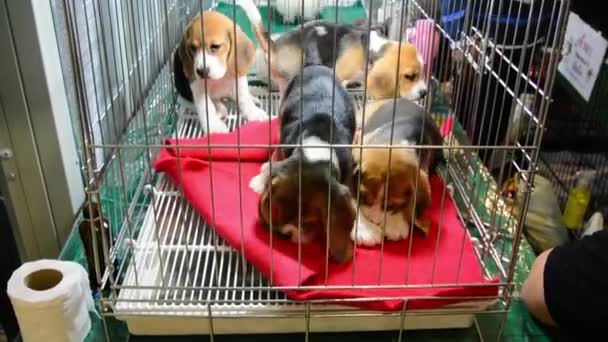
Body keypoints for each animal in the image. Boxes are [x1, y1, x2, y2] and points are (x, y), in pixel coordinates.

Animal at [249, 44, 358, 264]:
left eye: (310, 221)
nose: (288, 235)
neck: (316, 147)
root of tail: (315, 65)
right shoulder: (283, 147)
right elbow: (274, 162)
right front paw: (262, 178)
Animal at [350, 98, 444, 246]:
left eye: (392, 205)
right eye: (363, 197)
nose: (374, 221)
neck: (394, 141)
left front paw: (396, 224)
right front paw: (364, 229)